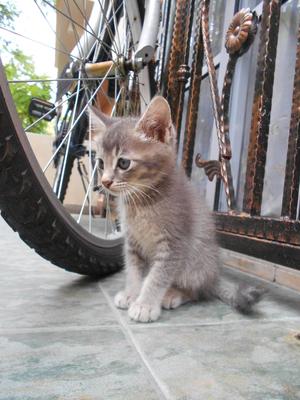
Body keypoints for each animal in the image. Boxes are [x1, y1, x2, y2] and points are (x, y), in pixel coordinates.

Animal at [89, 96, 264, 322]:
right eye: (101, 163)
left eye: (124, 163)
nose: (105, 182)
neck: (143, 201)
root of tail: (214, 276)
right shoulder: (133, 243)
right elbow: (134, 271)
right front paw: (131, 294)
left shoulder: (174, 244)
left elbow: (157, 277)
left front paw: (145, 304)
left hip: (195, 262)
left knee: (197, 291)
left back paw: (173, 294)